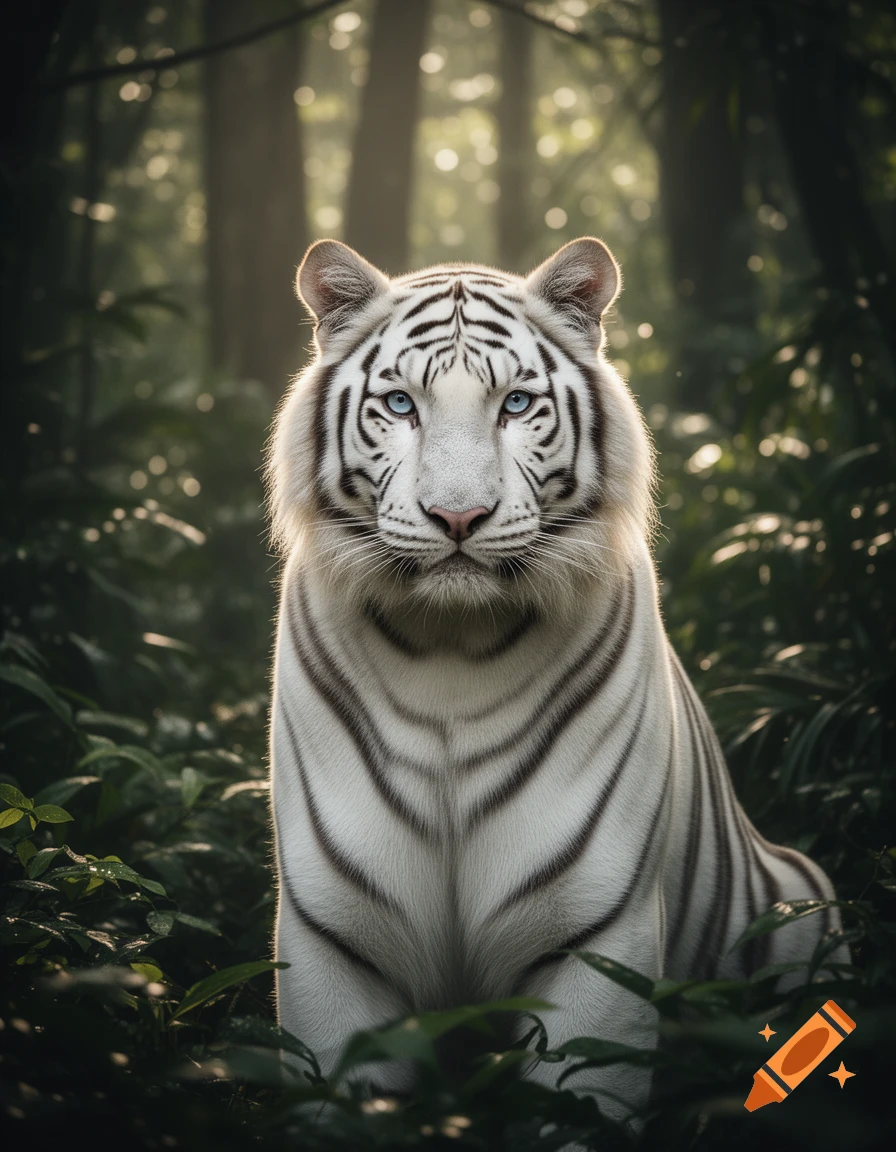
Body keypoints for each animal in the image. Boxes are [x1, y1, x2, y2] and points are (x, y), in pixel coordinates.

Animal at [266, 236, 845, 1121]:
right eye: (400, 405)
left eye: (514, 405)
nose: (458, 517)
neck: (449, 650)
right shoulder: (333, 937)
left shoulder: (597, 940)